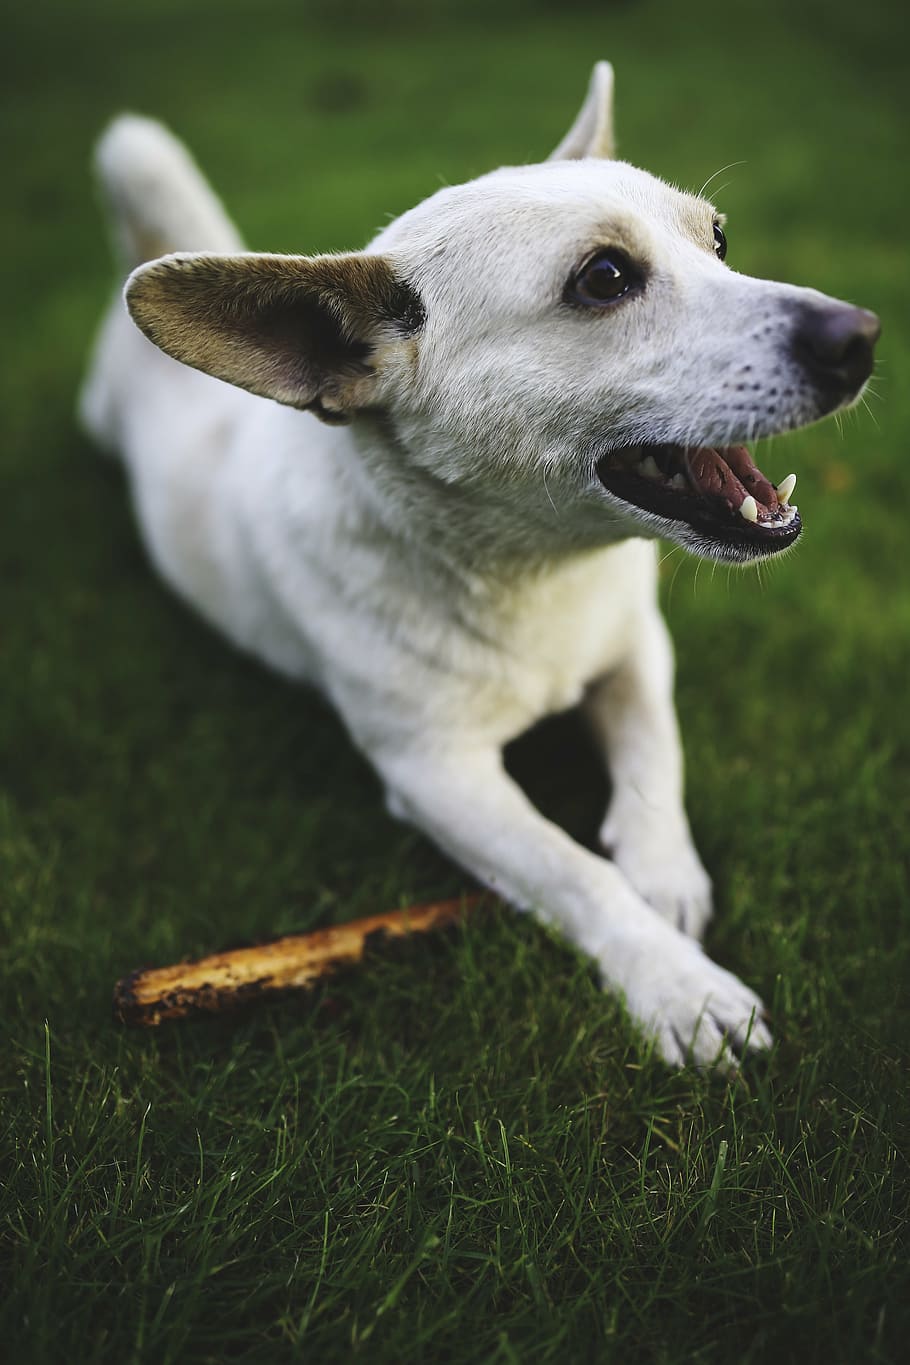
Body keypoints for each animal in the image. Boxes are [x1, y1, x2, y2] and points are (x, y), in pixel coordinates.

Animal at [81, 64, 878, 1064]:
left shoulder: (637, 652)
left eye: (720, 241)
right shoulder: (436, 775)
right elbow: (574, 871)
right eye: (604, 278)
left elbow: (654, 763)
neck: (536, 574)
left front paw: (666, 878)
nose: (862, 335)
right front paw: (680, 984)